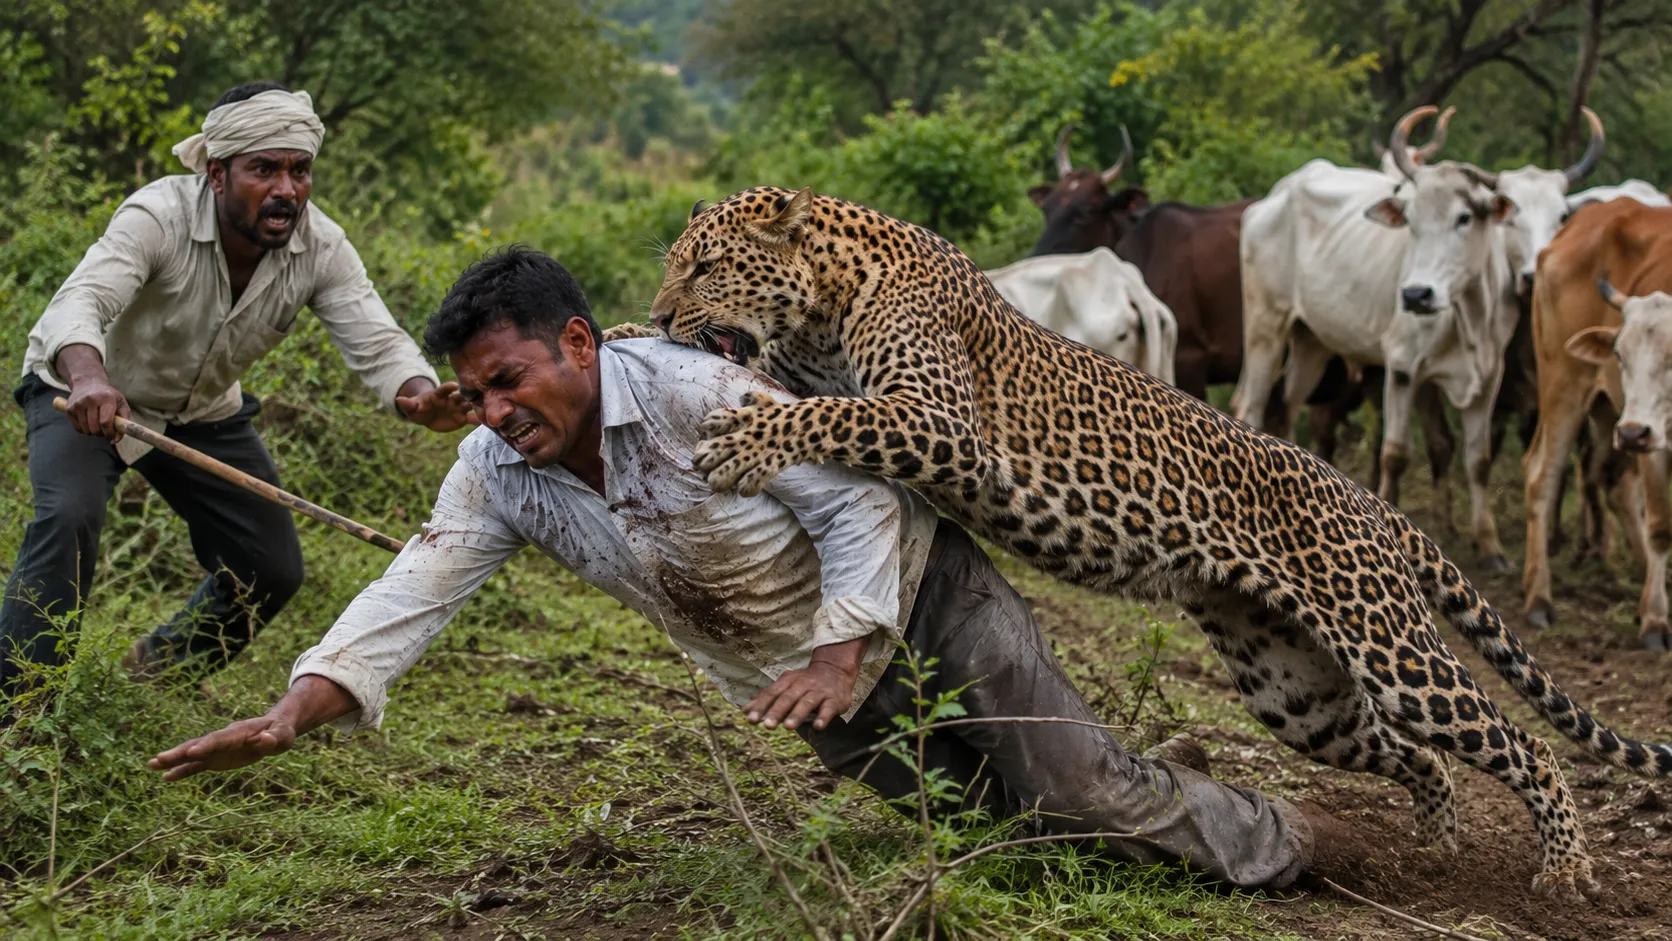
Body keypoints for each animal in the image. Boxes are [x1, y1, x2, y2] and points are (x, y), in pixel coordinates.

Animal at [1233, 106, 1521, 571]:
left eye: (1464, 217)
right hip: (1266, 324)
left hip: (1311, 343)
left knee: (1286, 409)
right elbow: (1395, 453)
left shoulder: (1488, 378)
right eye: (1411, 223)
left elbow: (1478, 461)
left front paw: (1490, 545)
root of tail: (1276, 194)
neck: (1468, 315)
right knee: (1252, 405)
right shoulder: (1402, 367)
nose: (1416, 295)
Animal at [1520, 197, 1672, 649]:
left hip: (1609, 413)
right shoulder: (1655, 442)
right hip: (1566, 389)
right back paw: (1539, 598)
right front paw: (1655, 622)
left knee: (1612, 484)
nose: (1634, 434)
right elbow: (1662, 525)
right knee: (1542, 475)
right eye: (1620, 354)